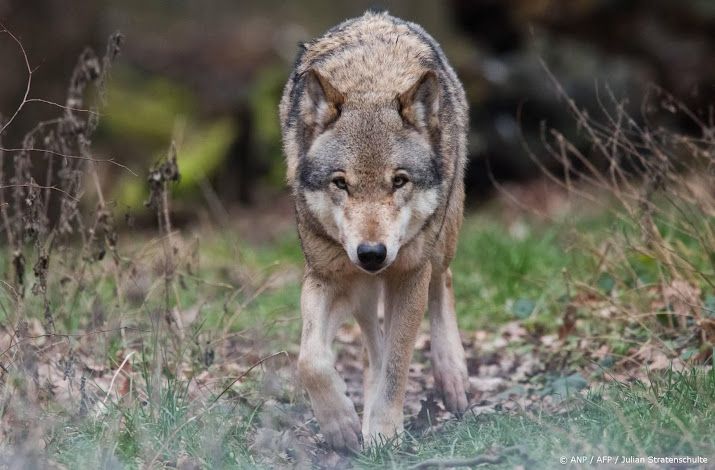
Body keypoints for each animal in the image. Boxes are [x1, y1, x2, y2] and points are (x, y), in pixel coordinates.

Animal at [279, 10, 469, 451]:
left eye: (398, 181)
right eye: (341, 183)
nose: (371, 253)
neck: (371, 83)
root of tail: (378, 15)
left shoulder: (409, 275)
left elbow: (398, 365)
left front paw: (382, 431)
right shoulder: (327, 275)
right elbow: (310, 360)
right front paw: (342, 425)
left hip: (440, 242)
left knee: (443, 281)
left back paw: (452, 377)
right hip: (361, 288)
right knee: (371, 341)